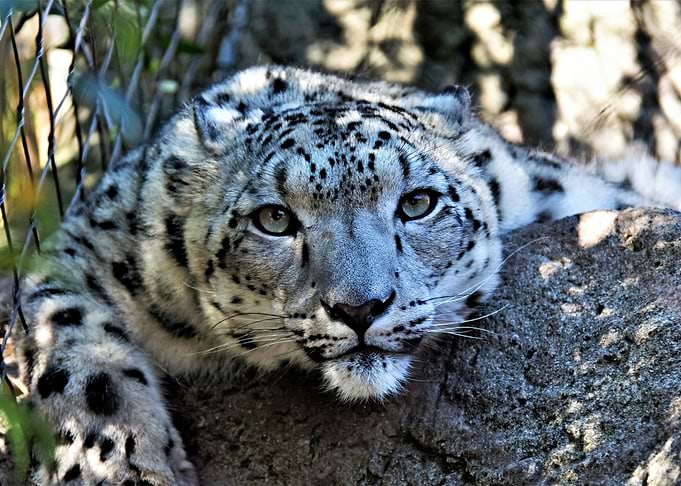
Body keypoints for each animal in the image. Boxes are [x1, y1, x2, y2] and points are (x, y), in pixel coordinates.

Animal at [5, 65, 681, 485]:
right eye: (274, 218)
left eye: (417, 202)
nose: (361, 308)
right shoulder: (79, 251)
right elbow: (73, 345)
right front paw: (113, 470)